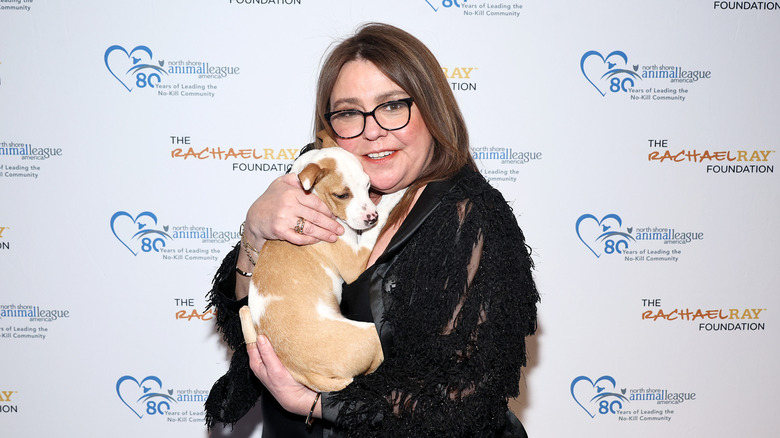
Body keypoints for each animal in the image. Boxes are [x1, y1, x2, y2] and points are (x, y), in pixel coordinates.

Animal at [239, 135, 406, 392]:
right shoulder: (354, 261)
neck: (313, 198)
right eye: (342, 195)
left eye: (368, 186)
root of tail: (307, 375)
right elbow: (374, 227)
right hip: (369, 332)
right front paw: (395, 195)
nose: (371, 217)